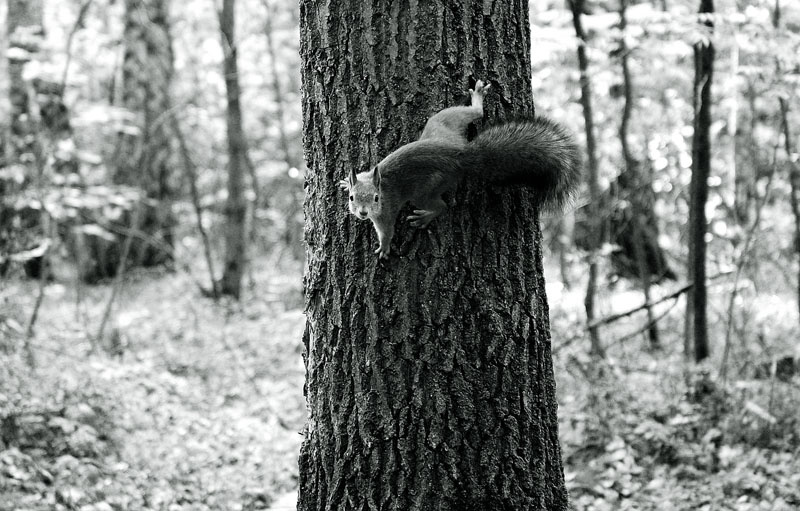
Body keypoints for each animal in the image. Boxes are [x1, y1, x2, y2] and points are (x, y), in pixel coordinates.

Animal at [339, 80, 581, 258]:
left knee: (442, 206)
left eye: (376, 198)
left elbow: (387, 231)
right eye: (351, 197)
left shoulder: (387, 211)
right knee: (473, 114)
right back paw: (478, 98)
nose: (362, 213)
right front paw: (344, 182)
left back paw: (426, 217)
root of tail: (462, 154)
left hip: (427, 188)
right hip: (441, 124)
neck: (380, 182)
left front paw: (384, 247)